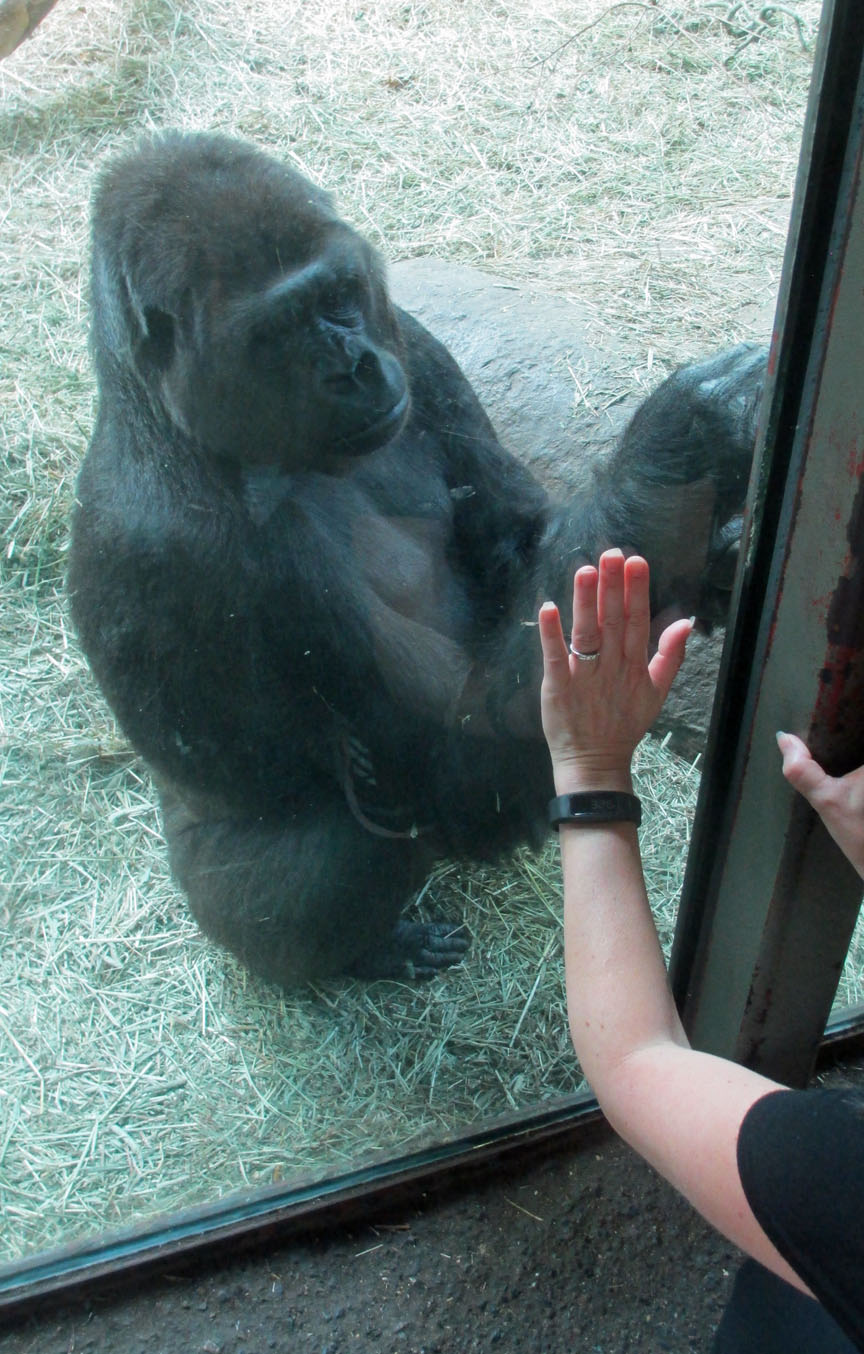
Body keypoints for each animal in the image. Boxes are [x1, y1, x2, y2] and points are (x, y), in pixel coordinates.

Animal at [71, 129, 769, 985]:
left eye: (340, 293)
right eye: (276, 332)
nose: (354, 368)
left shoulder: (416, 342)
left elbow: (520, 548)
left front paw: (710, 550)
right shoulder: (188, 549)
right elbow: (457, 756)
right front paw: (687, 436)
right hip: (211, 898)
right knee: (348, 845)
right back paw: (368, 949)